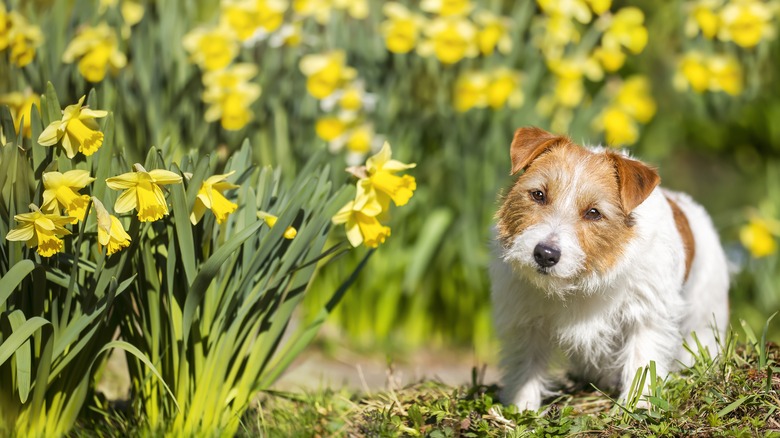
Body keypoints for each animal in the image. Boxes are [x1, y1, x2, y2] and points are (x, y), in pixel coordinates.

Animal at [490, 126, 728, 410]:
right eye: (538, 195)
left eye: (593, 212)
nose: (545, 255)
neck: (578, 283)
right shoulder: (527, 322)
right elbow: (525, 366)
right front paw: (521, 407)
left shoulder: (646, 315)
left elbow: (642, 361)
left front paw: (637, 405)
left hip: (704, 319)